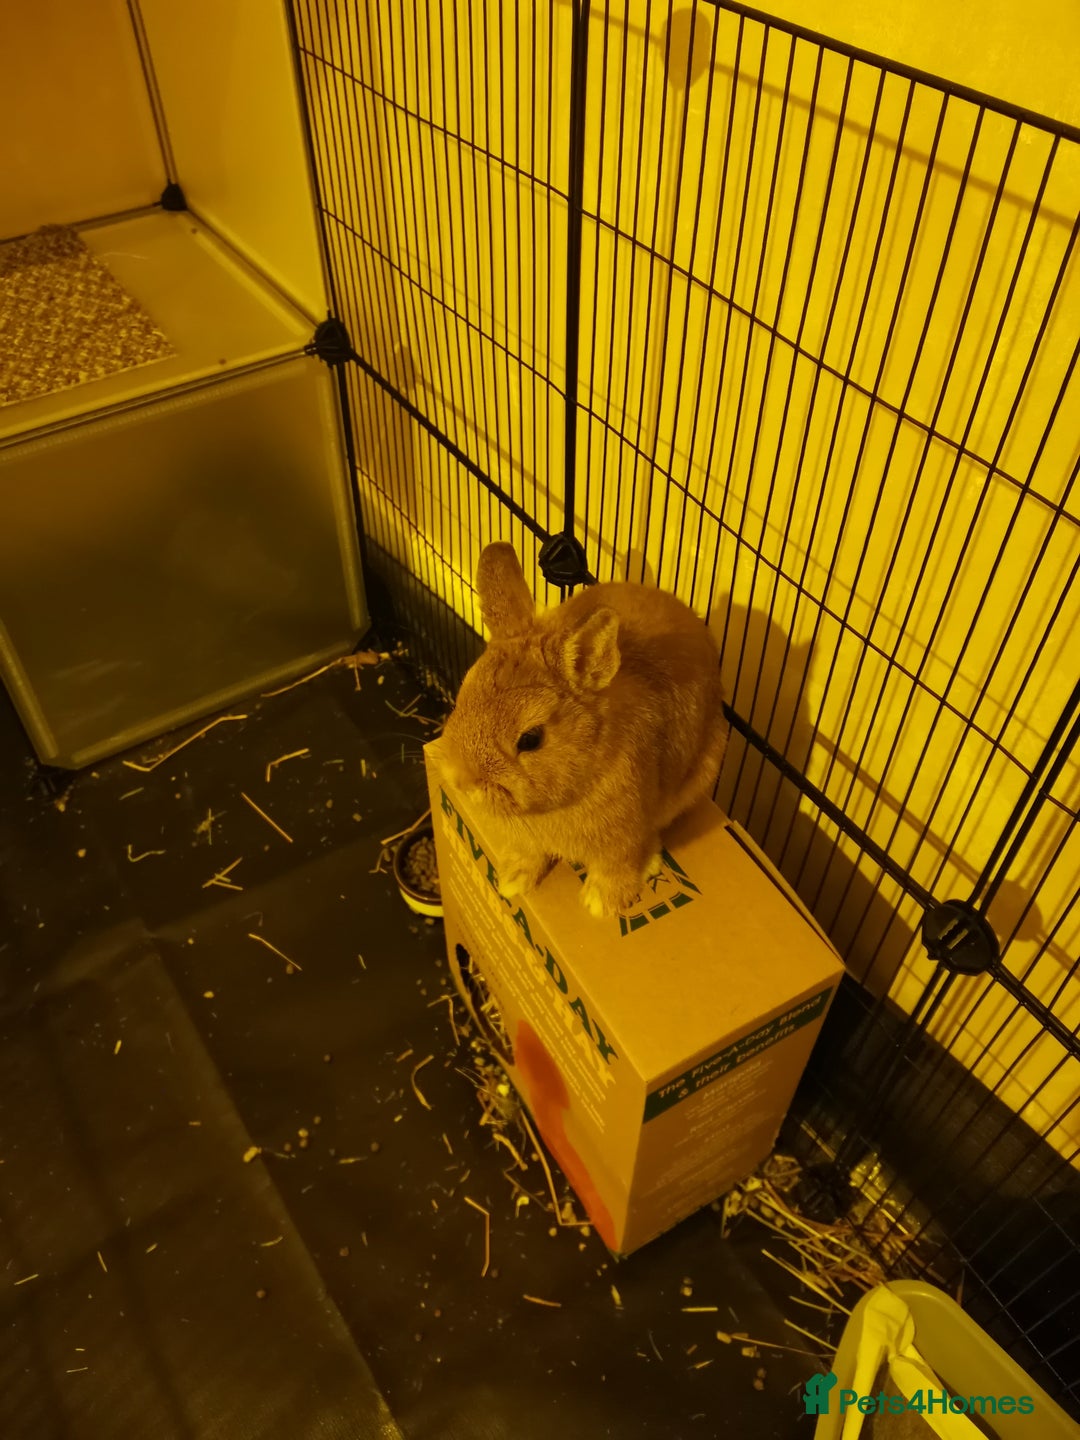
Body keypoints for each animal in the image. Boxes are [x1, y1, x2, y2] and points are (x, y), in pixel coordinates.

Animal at [434, 542, 728, 920]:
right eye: (463, 696)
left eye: (530, 739)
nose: (462, 781)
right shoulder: (529, 839)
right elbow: (529, 855)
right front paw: (512, 880)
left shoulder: (622, 842)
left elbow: (617, 868)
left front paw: (602, 903)